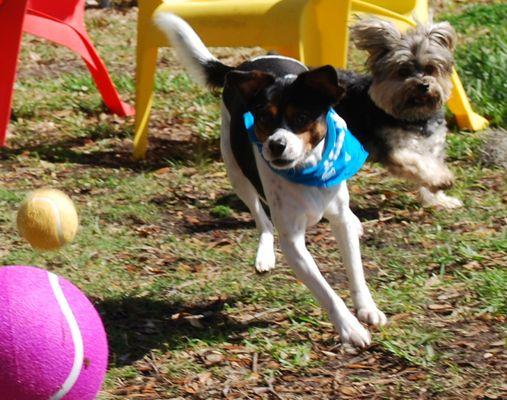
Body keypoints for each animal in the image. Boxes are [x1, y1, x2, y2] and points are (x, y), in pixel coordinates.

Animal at [157, 13, 386, 346]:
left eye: (302, 117)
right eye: (264, 118)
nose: (276, 145)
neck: (307, 170)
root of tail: (249, 64)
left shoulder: (338, 220)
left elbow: (355, 268)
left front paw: (367, 308)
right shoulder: (293, 242)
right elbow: (325, 291)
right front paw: (350, 328)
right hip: (236, 171)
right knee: (261, 218)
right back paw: (264, 254)